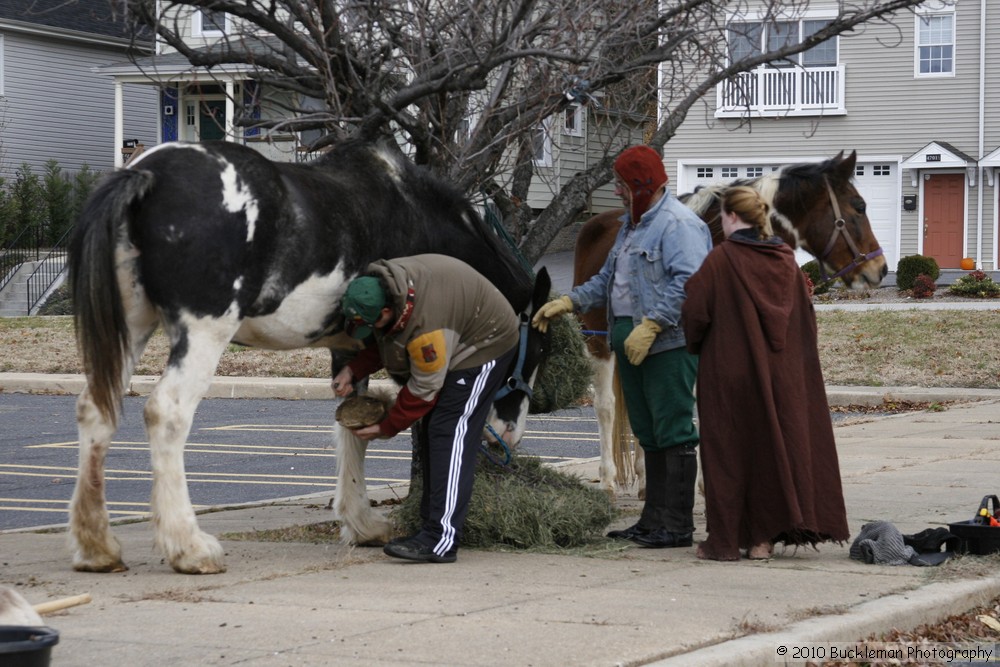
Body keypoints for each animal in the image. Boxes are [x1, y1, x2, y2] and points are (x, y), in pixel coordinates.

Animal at [70, 140, 552, 576]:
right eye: (539, 351)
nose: (509, 437)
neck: (415, 213)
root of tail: (148, 175)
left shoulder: (350, 349)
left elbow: (352, 427)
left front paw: (361, 523)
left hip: (132, 325)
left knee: (96, 409)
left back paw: (97, 547)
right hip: (204, 332)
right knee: (166, 412)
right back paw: (189, 548)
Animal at [576, 150, 888, 496]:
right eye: (859, 207)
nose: (880, 267)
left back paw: (646, 479)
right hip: (598, 341)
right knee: (606, 406)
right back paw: (607, 479)